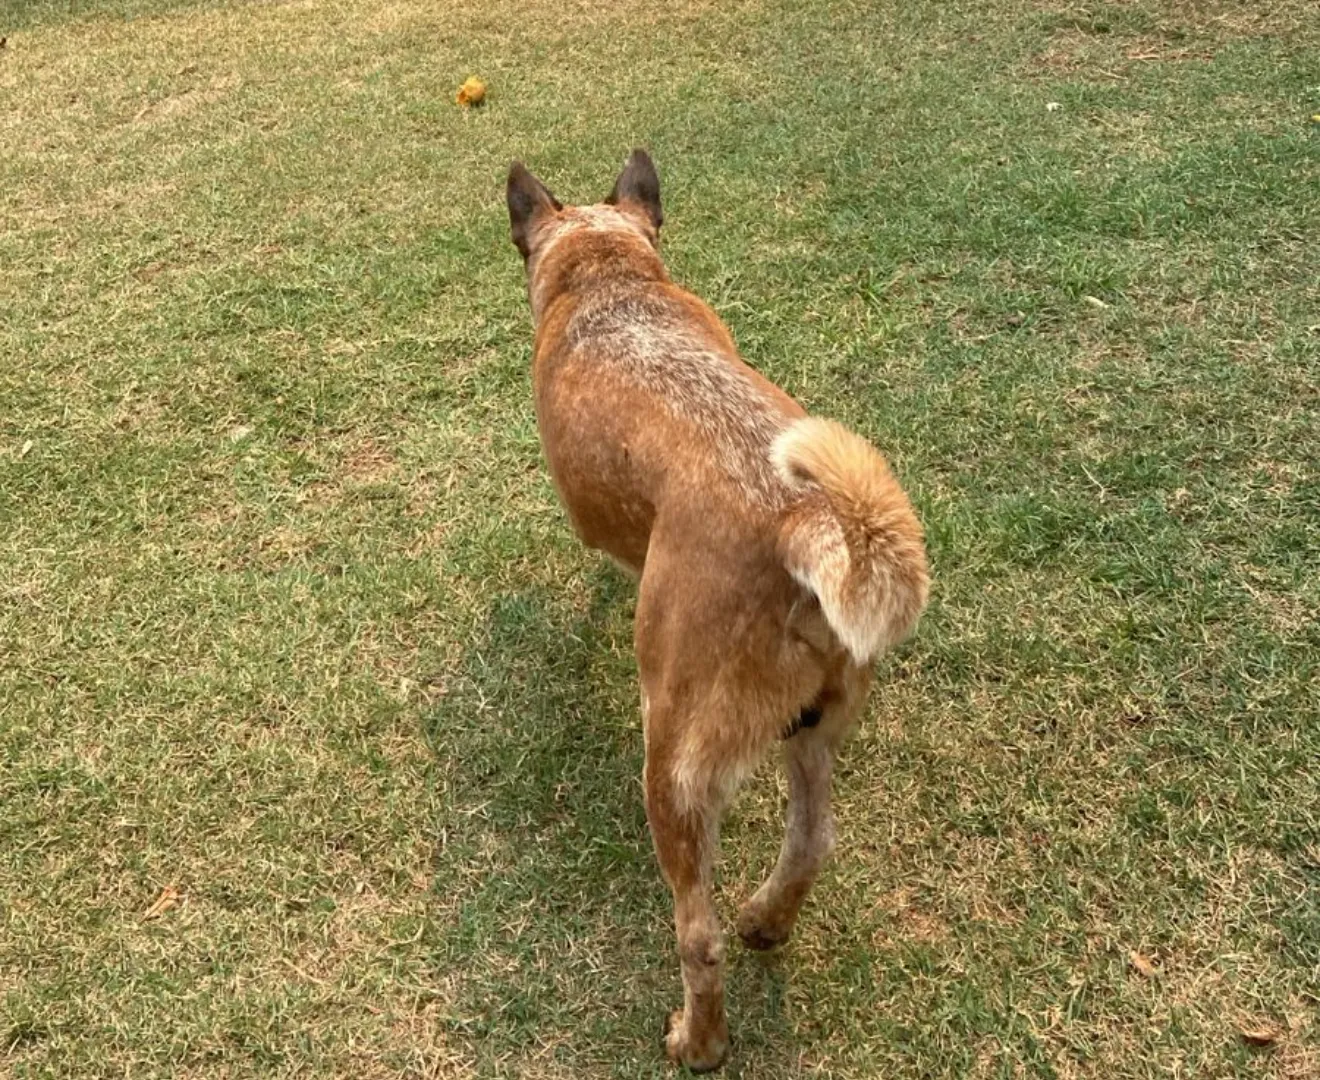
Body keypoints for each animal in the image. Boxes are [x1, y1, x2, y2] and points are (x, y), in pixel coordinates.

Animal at [504, 147, 929, 1066]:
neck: (610, 279)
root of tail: (797, 519)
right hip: (815, 723)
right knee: (811, 840)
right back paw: (768, 921)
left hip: (674, 761)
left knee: (696, 936)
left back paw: (698, 1042)